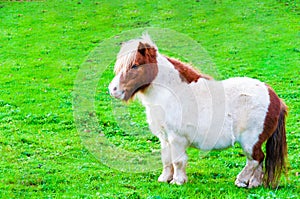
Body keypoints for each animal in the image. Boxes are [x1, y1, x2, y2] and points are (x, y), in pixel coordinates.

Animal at [108, 34, 288, 188]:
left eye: (135, 65)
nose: (113, 90)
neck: (173, 93)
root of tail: (275, 98)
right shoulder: (164, 137)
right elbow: (166, 159)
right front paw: (164, 179)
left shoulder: (176, 137)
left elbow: (178, 161)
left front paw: (178, 181)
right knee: (259, 161)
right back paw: (253, 184)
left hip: (250, 141)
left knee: (255, 159)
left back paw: (241, 181)